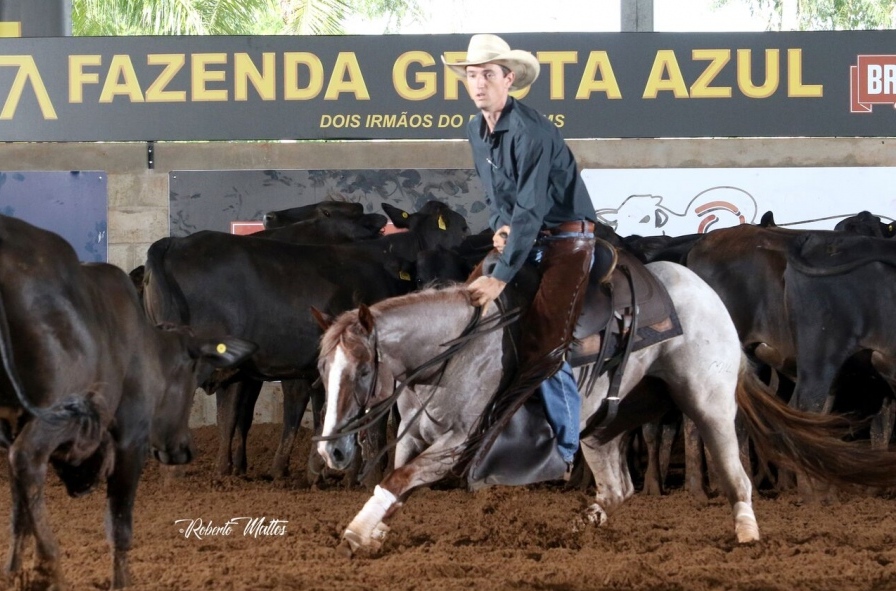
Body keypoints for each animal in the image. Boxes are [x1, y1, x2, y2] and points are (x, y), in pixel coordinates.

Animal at [0, 214, 256, 589]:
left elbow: (19, 513)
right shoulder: (131, 435)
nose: (182, 450)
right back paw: (51, 566)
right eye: (188, 376)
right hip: (54, 414)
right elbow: (120, 524)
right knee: (26, 460)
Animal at [314, 260, 896, 555]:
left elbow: (400, 478)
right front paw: (377, 530)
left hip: (707, 404)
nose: (332, 452)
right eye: (323, 370)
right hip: (604, 422)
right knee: (619, 488)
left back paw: (747, 534)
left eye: (362, 371)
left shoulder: (460, 440)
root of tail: (701, 288)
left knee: (736, 475)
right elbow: (396, 476)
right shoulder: (415, 432)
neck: (457, 349)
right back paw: (578, 528)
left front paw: (356, 534)